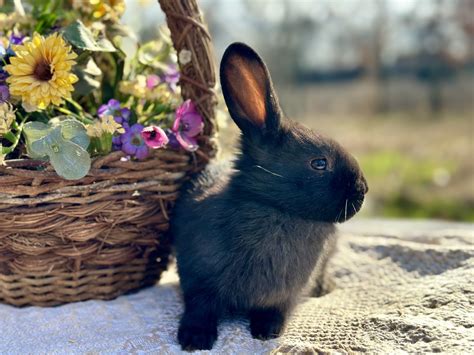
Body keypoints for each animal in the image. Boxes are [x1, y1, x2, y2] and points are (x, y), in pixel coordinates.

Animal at [172, 43, 368, 352]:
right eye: (319, 163)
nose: (363, 190)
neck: (273, 208)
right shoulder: (197, 281)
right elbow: (199, 308)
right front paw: (194, 339)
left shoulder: (283, 296)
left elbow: (275, 311)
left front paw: (267, 331)